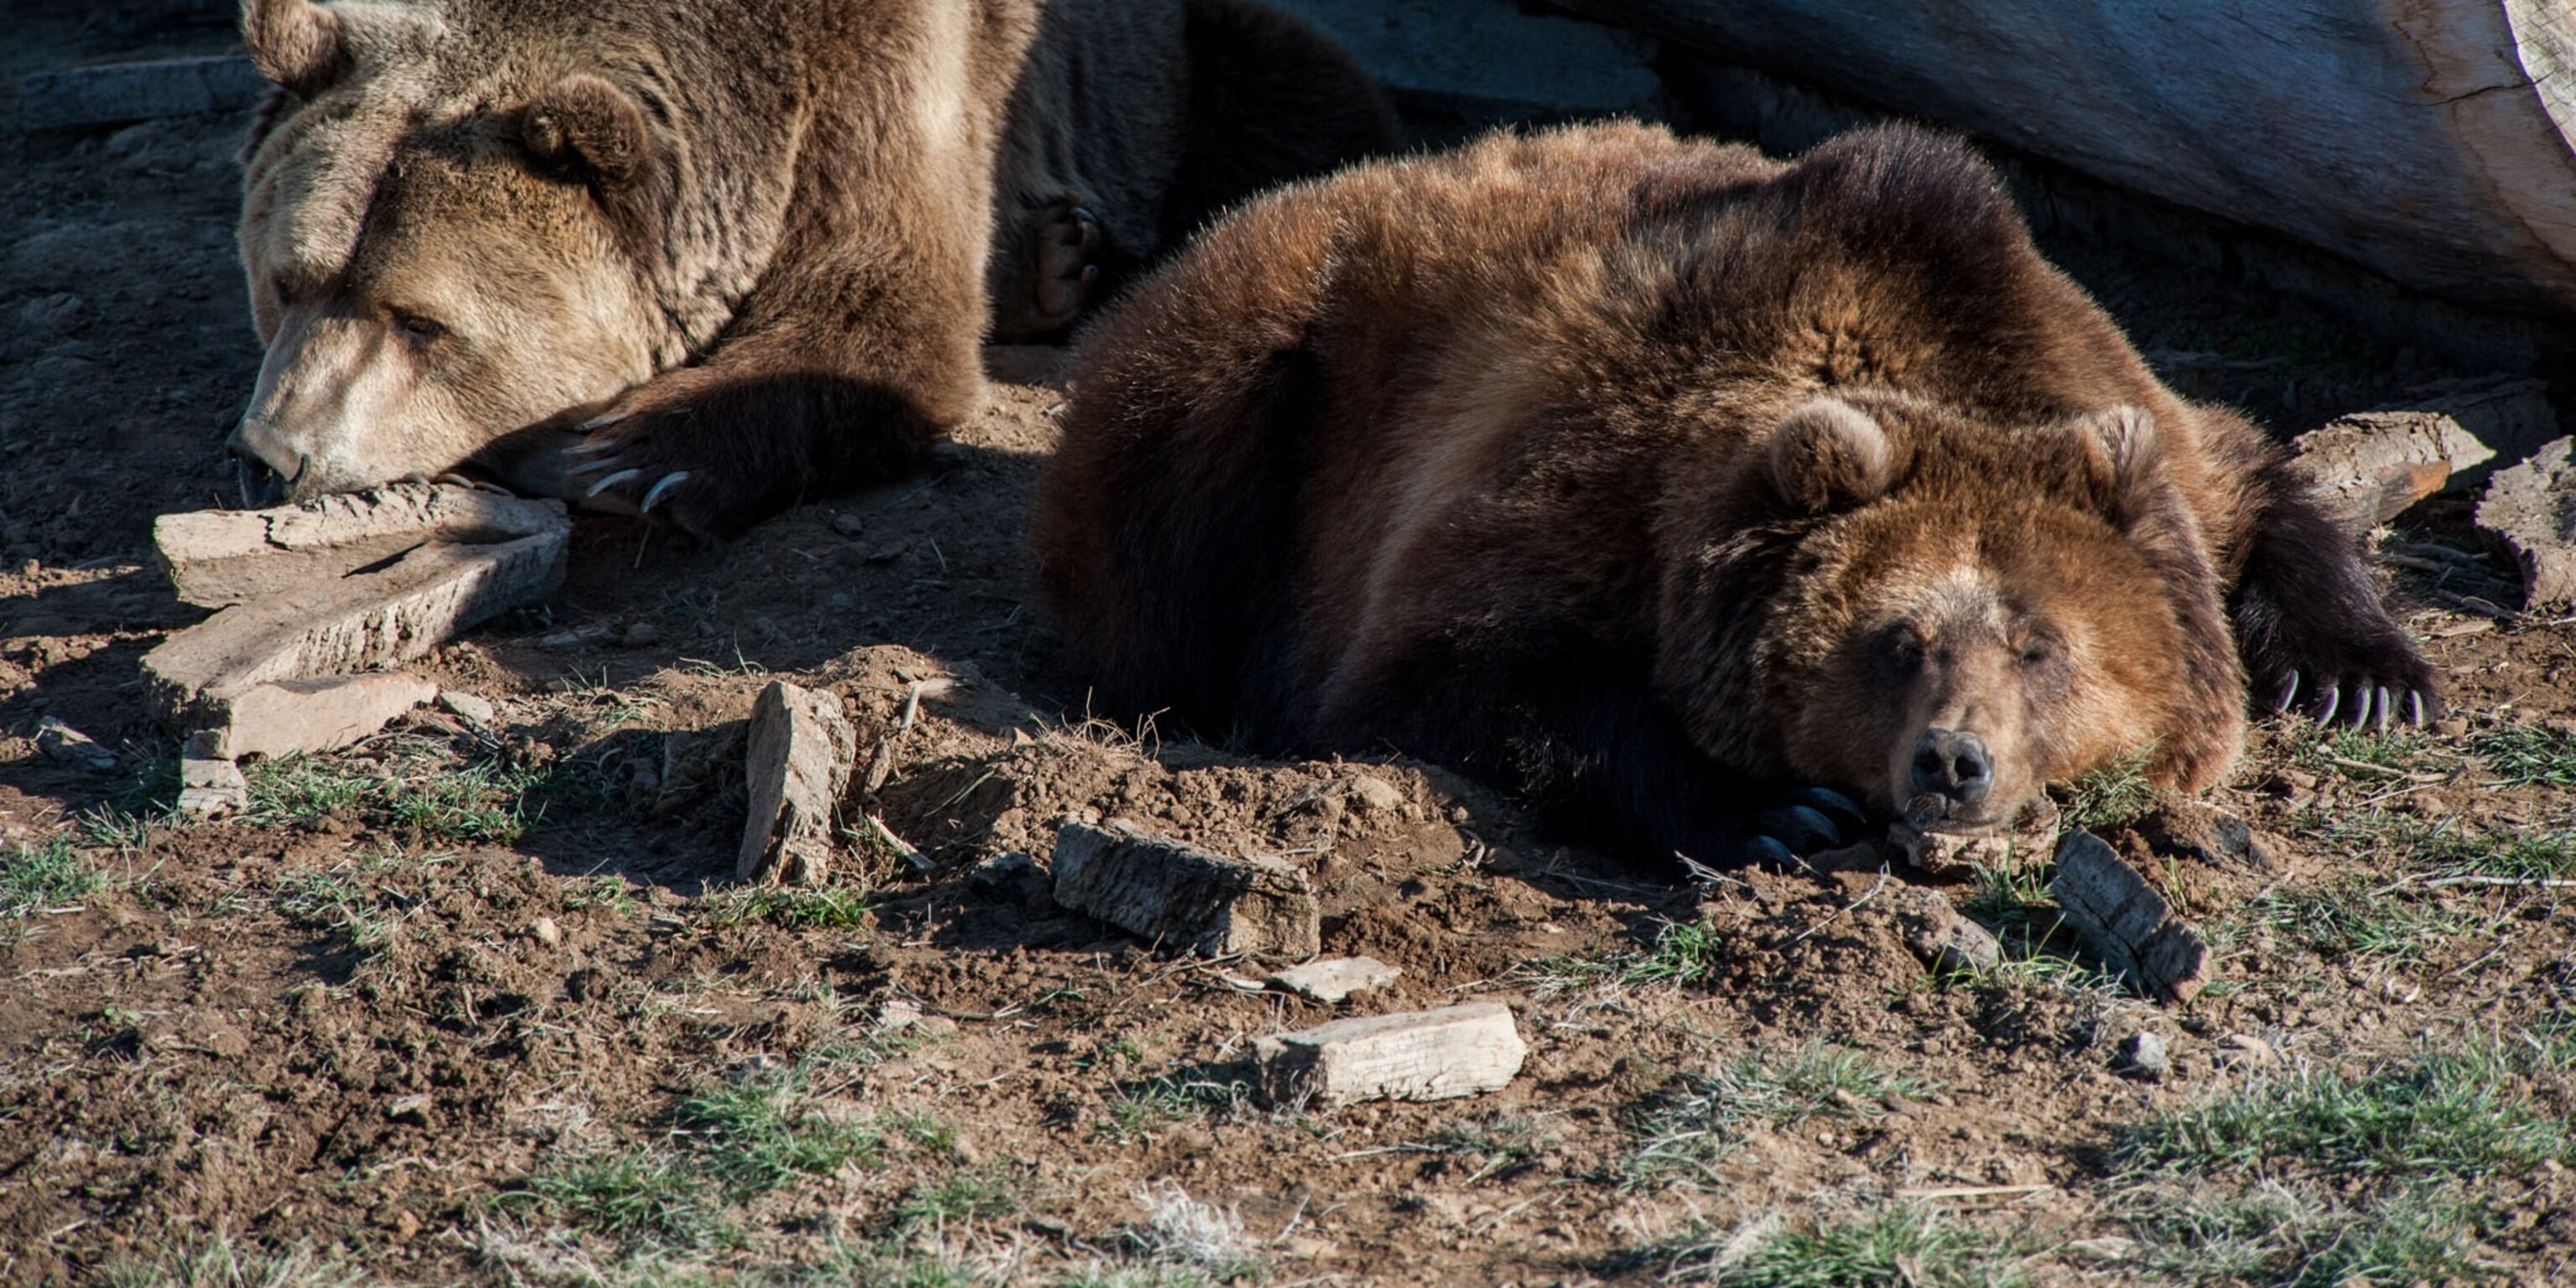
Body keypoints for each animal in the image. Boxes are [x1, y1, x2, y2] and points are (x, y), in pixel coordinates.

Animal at [228, 0, 1398, 538]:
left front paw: (631, 451)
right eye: (287, 279)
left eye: (422, 320)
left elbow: (872, 315)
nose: (277, 453)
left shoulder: (889, 82)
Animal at [1031, 121, 2440, 871]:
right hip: (1265, 367)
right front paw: (1776, 806)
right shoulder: (1571, 481)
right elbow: (1444, 680)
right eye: (1895, 640)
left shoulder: (2115, 392)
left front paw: (2364, 674)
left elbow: (2245, 467)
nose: (1951, 760)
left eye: (2042, 646)